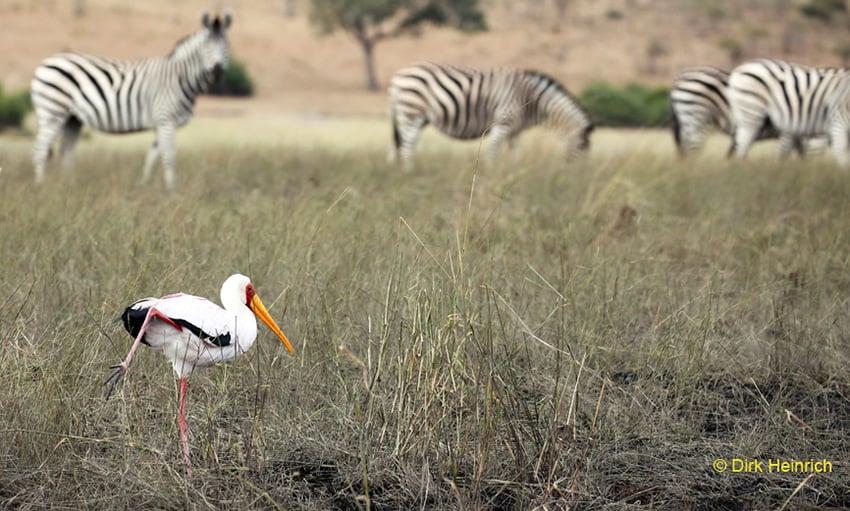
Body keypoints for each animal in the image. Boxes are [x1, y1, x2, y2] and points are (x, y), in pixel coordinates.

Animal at [30, 11, 232, 191]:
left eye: (226, 46)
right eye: (206, 46)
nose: (217, 71)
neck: (179, 78)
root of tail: (43, 64)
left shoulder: (161, 123)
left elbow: (152, 156)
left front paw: (144, 185)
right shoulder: (166, 119)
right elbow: (169, 157)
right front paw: (171, 190)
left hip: (73, 119)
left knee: (67, 152)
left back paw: (68, 185)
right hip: (53, 110)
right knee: (40, 150)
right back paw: (40, 186)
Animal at [388, 61, 592, 166]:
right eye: (582, 147)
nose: (578, 174)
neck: (531, 99)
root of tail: (397, 77)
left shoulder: (515, 131)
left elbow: (515, 153)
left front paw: (514, 173)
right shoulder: (502, 123)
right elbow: (493, 152)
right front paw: (489, 174)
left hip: (417, 118)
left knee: (406, 144)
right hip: (412, 112)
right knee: (406, 145)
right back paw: (409, 171)